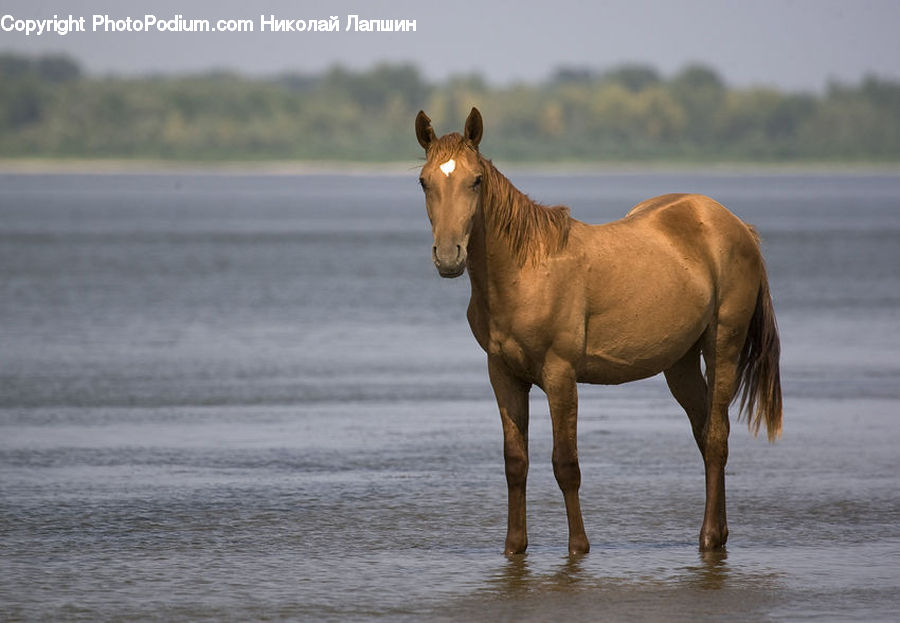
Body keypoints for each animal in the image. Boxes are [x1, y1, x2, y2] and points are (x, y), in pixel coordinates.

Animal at [414, 107, 782, 555]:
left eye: (476, 180)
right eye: (425, 181)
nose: (449, 256)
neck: (525, 272)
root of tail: (736, 226)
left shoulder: (560, 375)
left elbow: (566, 464)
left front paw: (579, 546)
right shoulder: (503, 374)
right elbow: (515, 462)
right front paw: (514, 546)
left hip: (722, 348)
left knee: (715, 437)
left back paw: (709, 537)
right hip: (679, 362)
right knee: (705, 432)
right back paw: (720, 532)